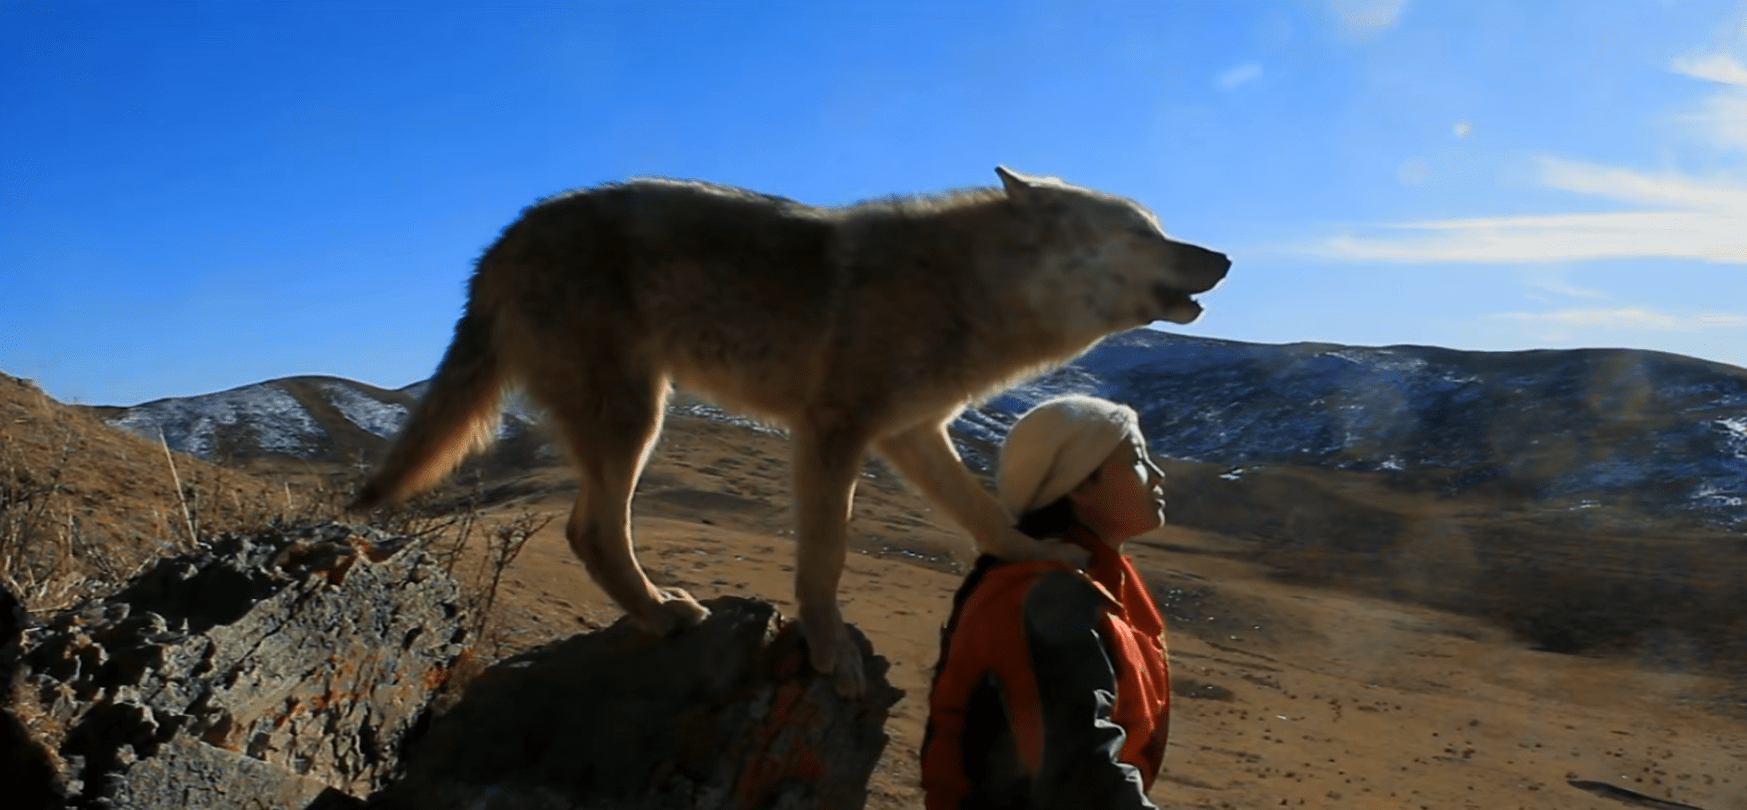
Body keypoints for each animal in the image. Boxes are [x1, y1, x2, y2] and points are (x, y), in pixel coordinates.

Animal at [351, 165, 1229, 694]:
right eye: (1143, 233)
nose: (1221, 256)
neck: (974, 291)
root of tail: (502, 240)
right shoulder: (833, 433)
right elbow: (825, 559)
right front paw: (830, 649)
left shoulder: (913, 433)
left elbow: (980, 512)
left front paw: (1037, 553)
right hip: (637, 418)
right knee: (591, 530)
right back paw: (664, 613)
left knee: (585, 528)